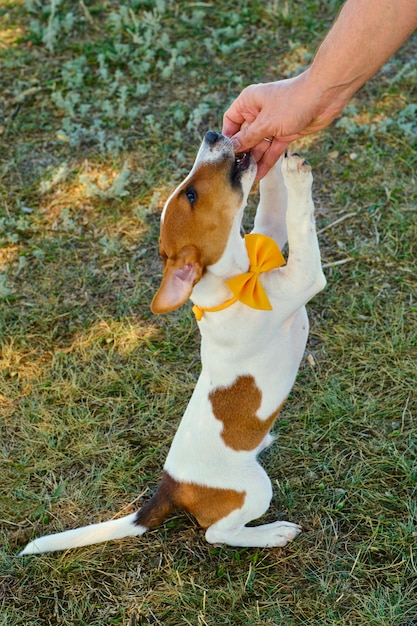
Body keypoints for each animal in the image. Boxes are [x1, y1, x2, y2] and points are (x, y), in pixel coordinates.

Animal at [19, 130, 324, 552]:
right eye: (191, 194)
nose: (213, 134)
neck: (232, 283)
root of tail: (171, 487)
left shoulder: (267, 237)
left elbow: (273, 206)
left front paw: (275, 155)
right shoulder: (303, 278)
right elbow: (300, 223)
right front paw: (296, 174)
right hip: (254, 489)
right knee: (217, 533)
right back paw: (271, 533)